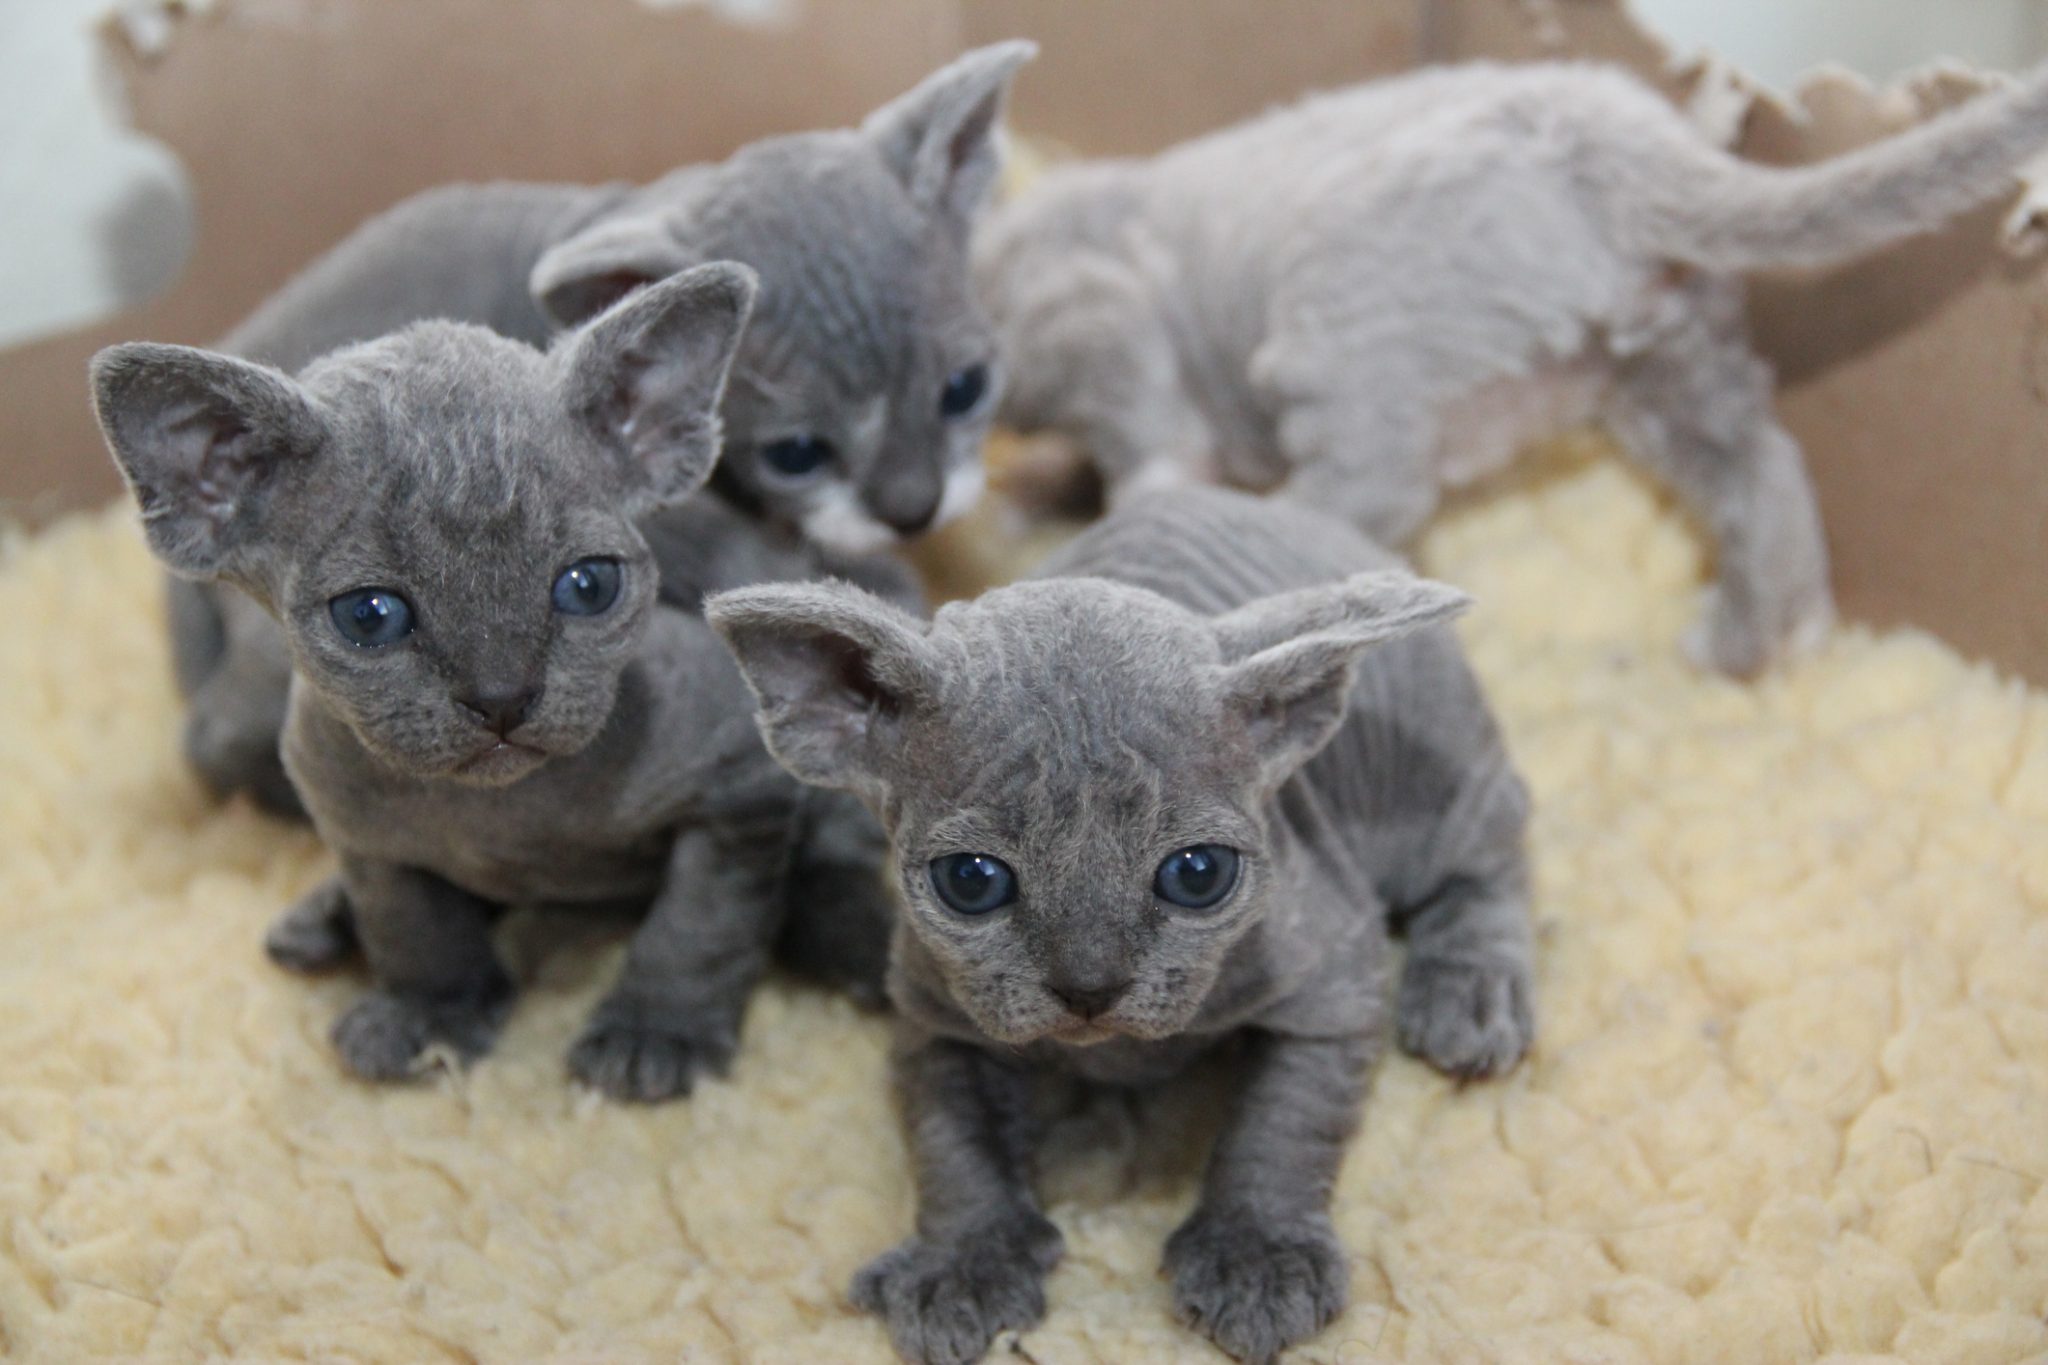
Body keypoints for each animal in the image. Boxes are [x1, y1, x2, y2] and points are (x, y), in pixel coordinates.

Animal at [92, 272, 888, 1105]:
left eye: (588, 584)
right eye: (370, 615)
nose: (502, 695)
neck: (502, 819)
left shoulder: (744, 786)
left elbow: (701, 923)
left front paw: (656, 1028)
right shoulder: (358, 835)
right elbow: (413, 926)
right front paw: (434, 1011)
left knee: (833, 861)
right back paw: (325, 920)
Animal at [712, 491, 1531, 1365]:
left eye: (1197, 873)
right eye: (972, 881)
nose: (1089, 985)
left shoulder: (1334, 980)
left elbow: (1284, 1120)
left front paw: (1255, 1251)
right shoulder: (933, 1017)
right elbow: (952, 1141)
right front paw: (964, 1262)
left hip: (1429, 786)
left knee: (1493, 848)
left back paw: (1473, 990)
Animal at [966, 58, 2048, 679]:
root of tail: (1621, 145)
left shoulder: (1102, 318)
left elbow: (1144, 441)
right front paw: (1036, 496)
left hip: (1339, 333)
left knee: (1357, 493)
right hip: (1669, 361)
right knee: (1761, 472)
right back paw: (1755, 642)